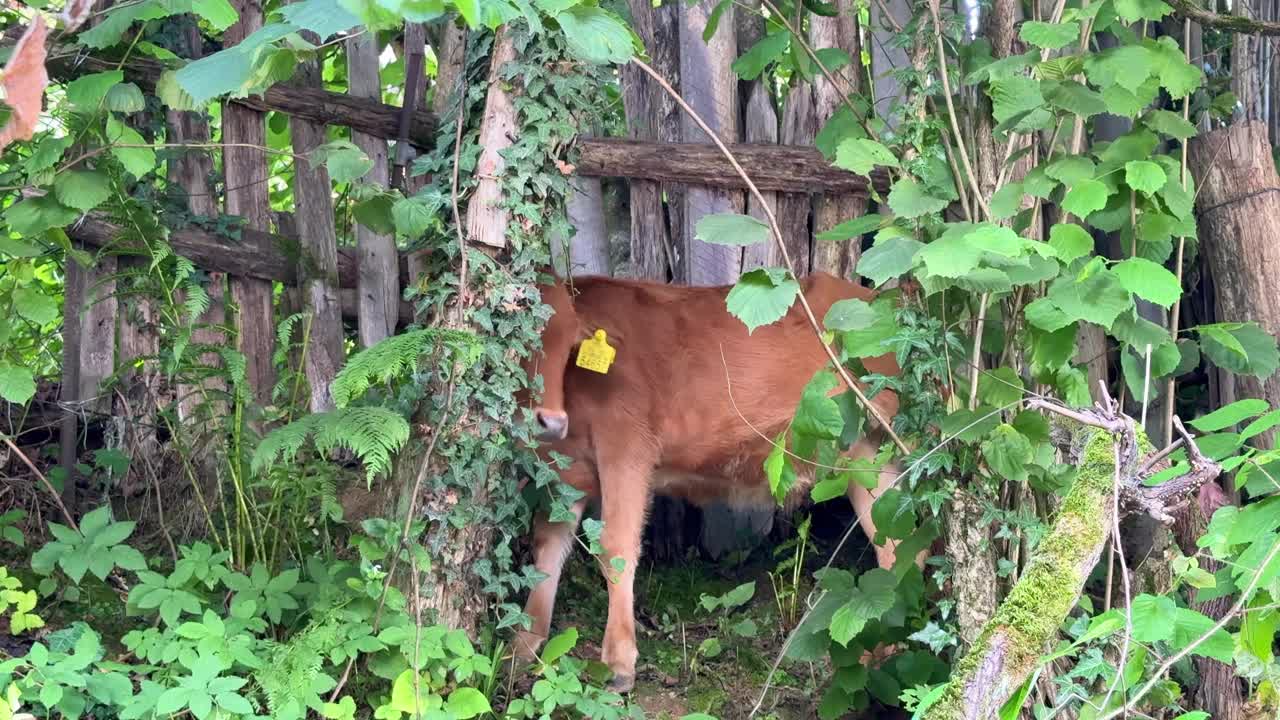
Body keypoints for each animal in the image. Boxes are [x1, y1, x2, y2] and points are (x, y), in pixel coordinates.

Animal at [514, 270, 906, 691]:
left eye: (569, 341)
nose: (550, 420)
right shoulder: (567, 468)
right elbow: (547, 546)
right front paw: (524, 643)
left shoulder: (628, 448)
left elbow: (615, 547)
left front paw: (618, 663)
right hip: (869, 460)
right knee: (896, 545)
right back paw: (883, 653)